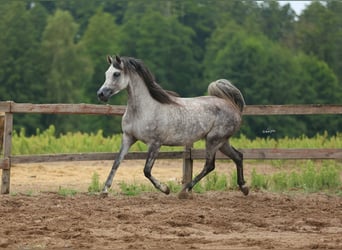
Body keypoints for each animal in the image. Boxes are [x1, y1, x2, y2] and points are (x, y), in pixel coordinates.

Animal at [96, 55, 248, 198]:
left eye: (116, 74)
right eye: (106, 73)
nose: (101, 94)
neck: (144, 110)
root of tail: (232, 105)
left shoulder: (155, 143)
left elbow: (146, 170)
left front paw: (165, 189)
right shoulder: (128, 138)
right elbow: (116, 162)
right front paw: (104, 191)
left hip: (213, 140)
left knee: (209, 165)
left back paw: (184, 190)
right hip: (222, 142)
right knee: (238, 156)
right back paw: (244, 188)